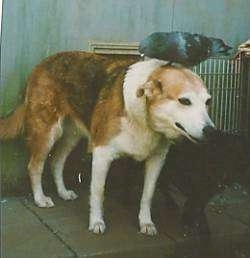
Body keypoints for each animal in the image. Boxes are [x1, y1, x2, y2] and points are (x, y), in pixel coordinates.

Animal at [0, 51, 215, 235]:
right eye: (185, 101)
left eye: (207, 102)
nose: (211, 131)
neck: (143, 117)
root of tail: (42, 64)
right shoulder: (102, 153)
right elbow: (98, 192)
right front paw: (96, 222)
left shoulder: (157, 159)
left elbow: (147, 195)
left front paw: (146, 223)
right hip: (47, 132)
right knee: (34, 166)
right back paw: (40, 199)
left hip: (71, 136)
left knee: (56, 162)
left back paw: (63, 192)